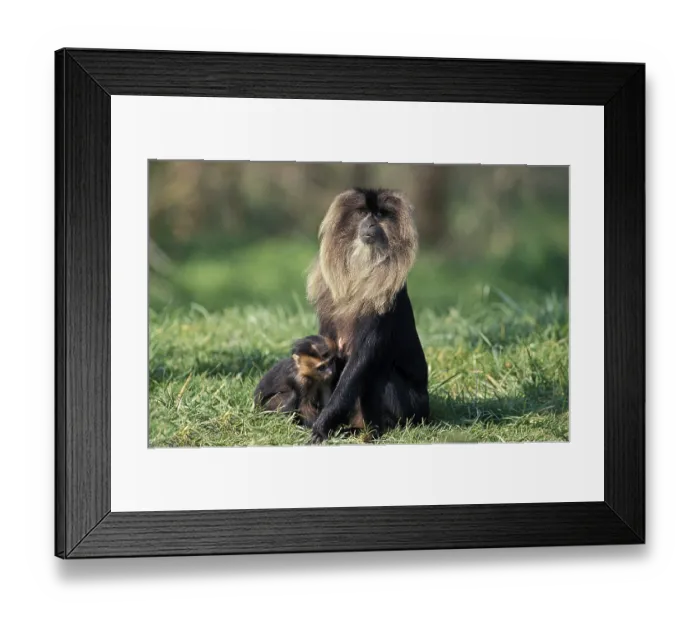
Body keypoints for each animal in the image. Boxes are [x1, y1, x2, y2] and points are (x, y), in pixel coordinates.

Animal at [305, 188, 430, 443]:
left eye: (380, 215)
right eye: (363, 212)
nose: (371, 223)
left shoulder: (385, 300)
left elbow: (362, 359)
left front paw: (322, 425)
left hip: (414, 409)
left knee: (378, 374)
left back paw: (376, 431)